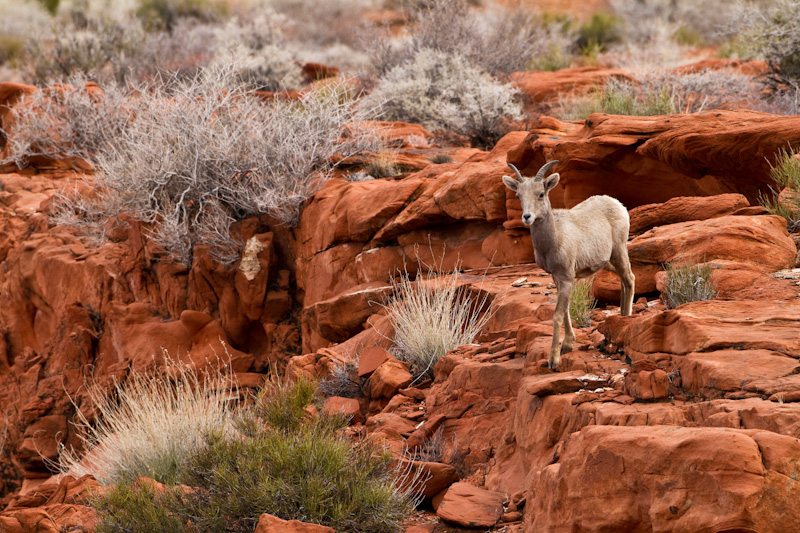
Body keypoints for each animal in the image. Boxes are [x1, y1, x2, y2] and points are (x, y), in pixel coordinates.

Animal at [504, 160, 636, 370]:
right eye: (518, 195)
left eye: (541, 193)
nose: (527, 217)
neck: (554, 240)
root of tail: (617, 204)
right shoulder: (557, 278)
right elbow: (565, 310)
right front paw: (567, 344)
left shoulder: (566, 277)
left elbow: (557, 315)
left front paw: (553, 359)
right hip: (608, 262)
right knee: (624, 280)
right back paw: (622, 315)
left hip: (619, 251)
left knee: (629, 278)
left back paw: (626, 318)